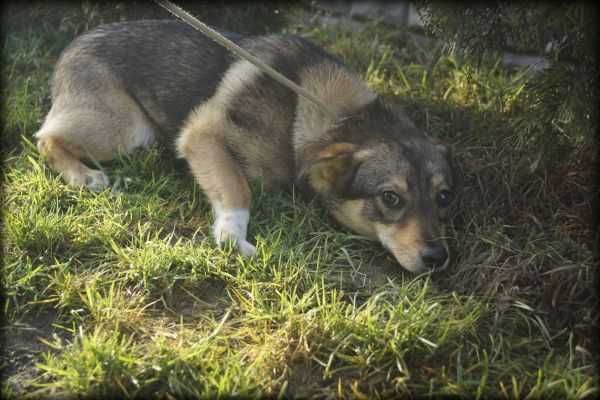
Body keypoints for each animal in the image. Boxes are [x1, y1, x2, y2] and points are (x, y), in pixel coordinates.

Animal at [34, 20, 454, 274]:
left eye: (443, 198)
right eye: (391, 198)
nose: (438, 258)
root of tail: (73, 45)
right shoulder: (202, 134)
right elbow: (238, 189)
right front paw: (233, 237)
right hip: (126, 129)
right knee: (46, 138)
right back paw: (85, 176)